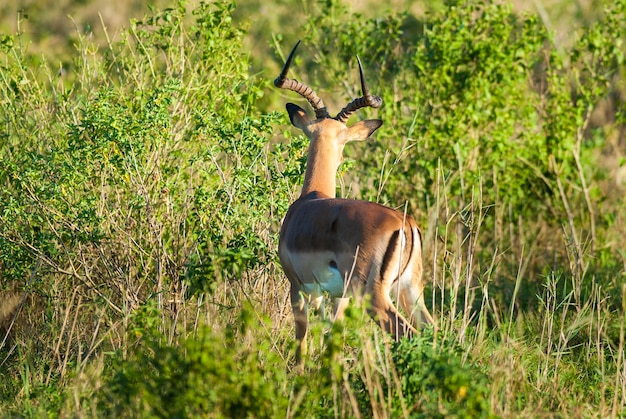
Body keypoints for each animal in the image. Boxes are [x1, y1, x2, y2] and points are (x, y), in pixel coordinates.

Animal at [276, 40, 432, 368]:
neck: (311, 198)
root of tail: (406, 224)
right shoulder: (338, 296)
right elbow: (330, 338)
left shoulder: (297, 286)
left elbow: (302, 339)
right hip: (410, 291)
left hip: (375, 296)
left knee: (407, 333)